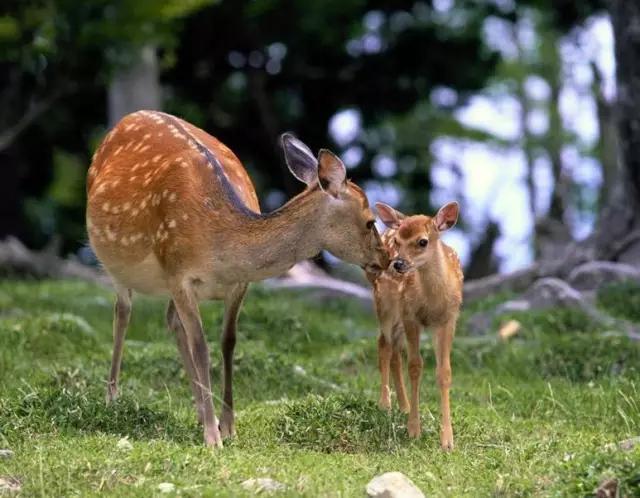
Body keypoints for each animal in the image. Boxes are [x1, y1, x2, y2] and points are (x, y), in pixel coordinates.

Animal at [87, 111, 388, 450]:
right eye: (370, 222)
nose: (387, 259)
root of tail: (128, 118)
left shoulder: (238, 284)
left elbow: (228, 342)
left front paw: (228, 426)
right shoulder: (178, 273)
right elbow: (201, 347)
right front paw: (212, 437)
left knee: (170, 319)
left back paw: (198, 409)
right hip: (115, 262)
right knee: (122, 313)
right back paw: (112, 398)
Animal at [370, 200, 460, 450]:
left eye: (422, 241)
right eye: (398, 242)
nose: (398, 264)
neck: (432, 301)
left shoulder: (449, 319)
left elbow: (444, 372)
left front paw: (447, 441)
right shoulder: (411, 316)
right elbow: (415, 367)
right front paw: (413, 430)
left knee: (394, 352)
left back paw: (404, 406)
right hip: (386, 305)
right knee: (384, 344)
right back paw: (385, 404)